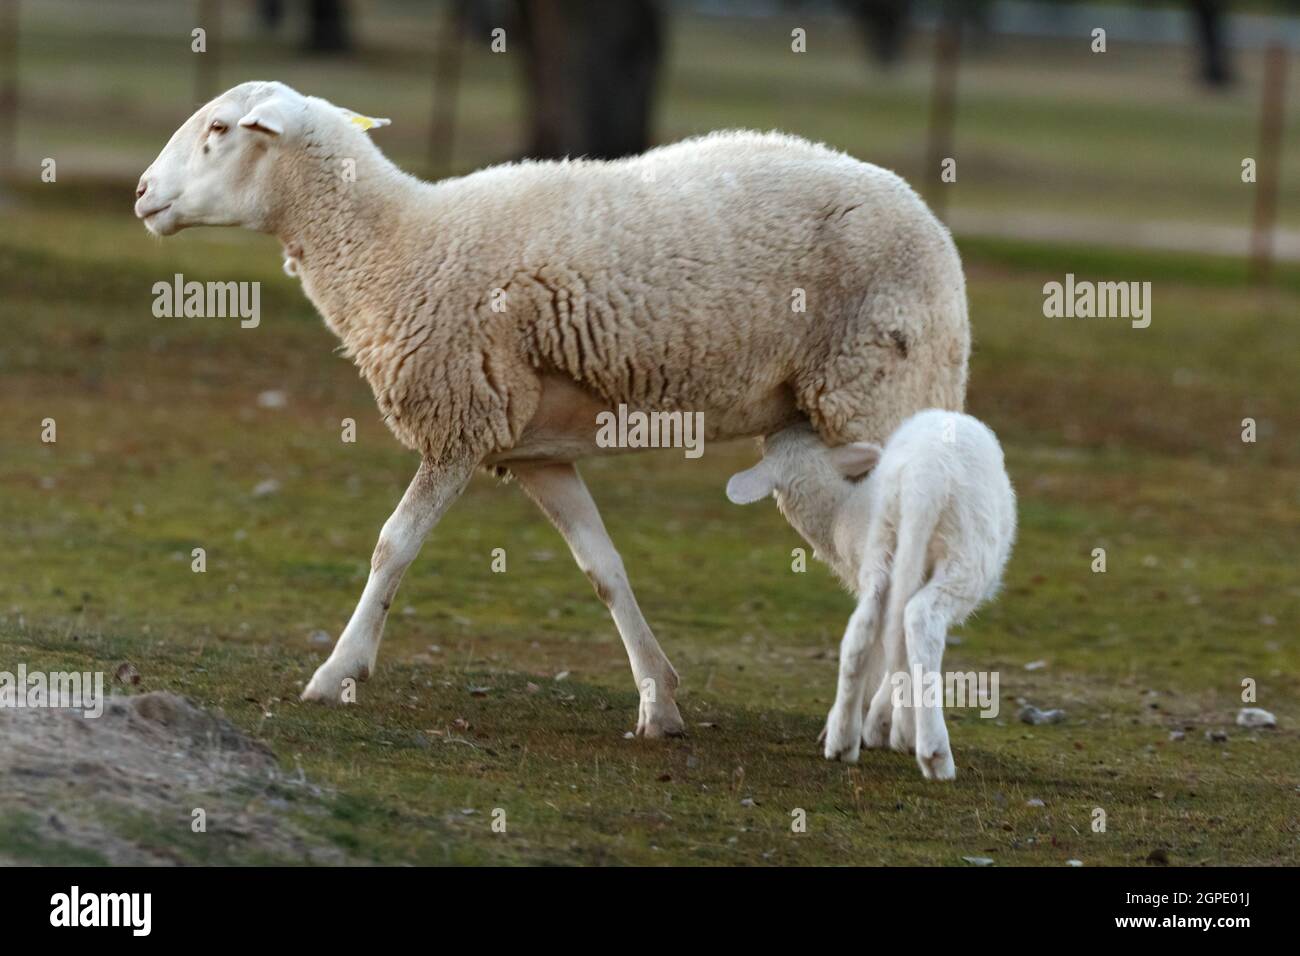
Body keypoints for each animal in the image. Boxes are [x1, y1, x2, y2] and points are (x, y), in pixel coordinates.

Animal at [135, 81, 971, 738]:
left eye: (219, 129)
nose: (141, 192)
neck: (393, 245)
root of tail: (938, 235)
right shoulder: (536, 452)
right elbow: (603, 568)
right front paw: (658, 701)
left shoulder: (459, 419)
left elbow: (392, 546)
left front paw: (337, 672)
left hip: (884, 391)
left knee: (908, 566)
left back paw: (894, 720)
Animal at [725, 410, 1016, 779]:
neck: (839, 510)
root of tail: (923, 477)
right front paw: (890, 725)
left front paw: (878, 724)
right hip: (964, 551)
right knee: (919, 621)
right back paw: (933, 753)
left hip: (884, 544)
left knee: (863, 630)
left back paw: (842, 741)